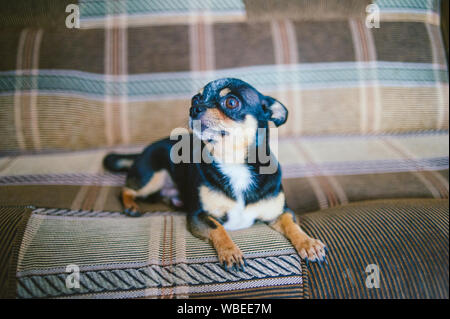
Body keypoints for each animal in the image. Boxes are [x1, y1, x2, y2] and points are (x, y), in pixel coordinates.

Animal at [103, 77, 326, 270]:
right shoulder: (198, 215)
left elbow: (292, 225)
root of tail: (143, 151)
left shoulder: (281, 212)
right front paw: (230, 251)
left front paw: (308, 243)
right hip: (153, 177)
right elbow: (218, 228)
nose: (194, 108)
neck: (233, 163)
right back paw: (131, 206)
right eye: (195, 98)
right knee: (125, 190)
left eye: (231, 102)